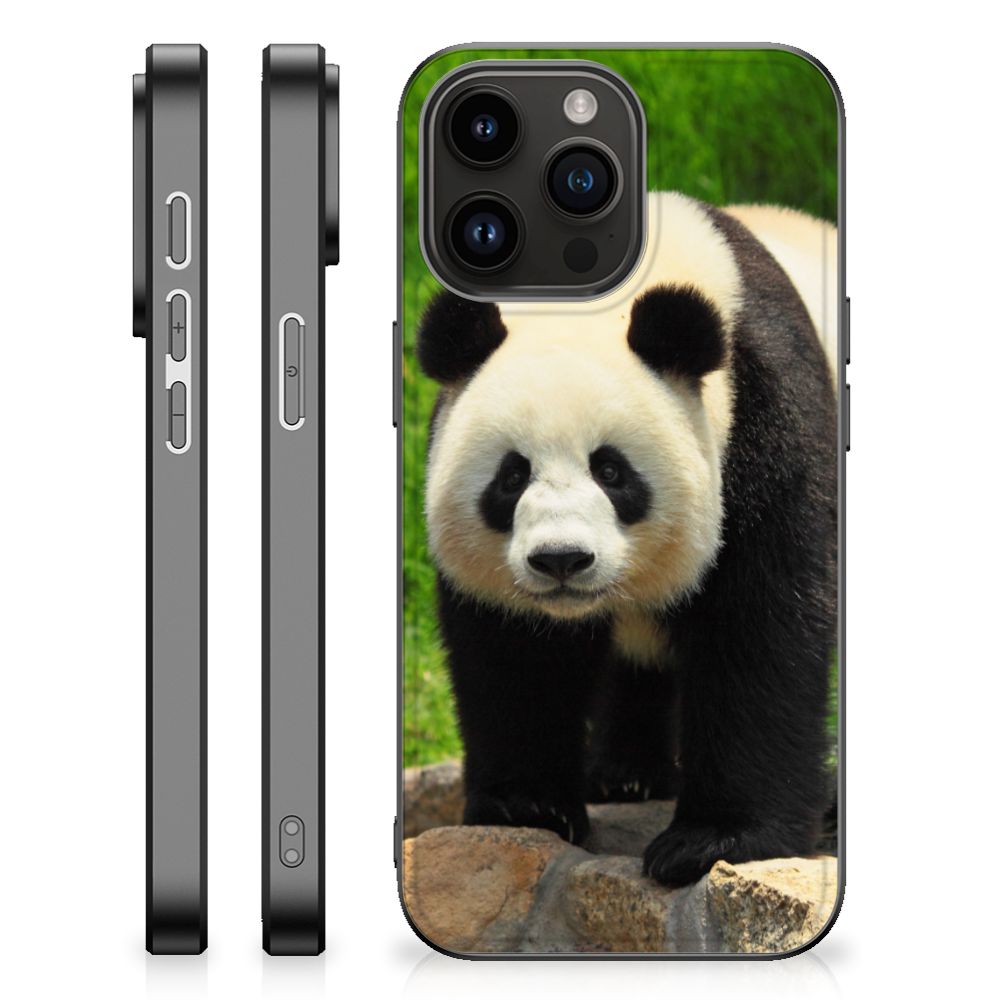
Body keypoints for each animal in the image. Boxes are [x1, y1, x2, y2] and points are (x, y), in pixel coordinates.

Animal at [416, 191, 838, 887]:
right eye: (511, 475)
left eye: (611, 471)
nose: (561, 560)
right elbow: (515, 653)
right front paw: (526, 806)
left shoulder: (766, 422)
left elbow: (761, 628)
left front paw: (712, 841)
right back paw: (626, 775)